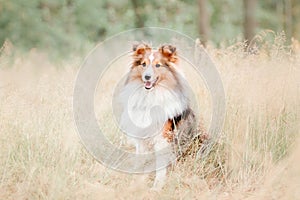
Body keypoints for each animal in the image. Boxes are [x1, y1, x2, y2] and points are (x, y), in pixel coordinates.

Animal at [118, 41, 203, 189]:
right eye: (143, 64)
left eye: (158, 65)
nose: (147, 77)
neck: (150, 96)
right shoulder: (141, 139)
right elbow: (140, 162)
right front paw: (136, 183)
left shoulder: (162, 139)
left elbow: (160, 168)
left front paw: (157, 187)